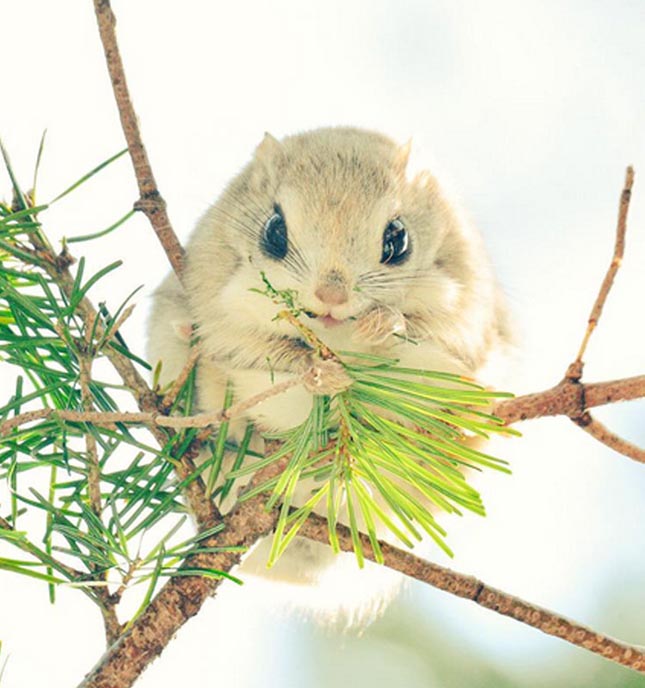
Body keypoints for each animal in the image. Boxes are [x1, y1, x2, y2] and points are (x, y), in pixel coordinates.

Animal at [147, 127, 512, 620]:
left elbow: (416, 332)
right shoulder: (220, 313)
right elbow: (265, 354)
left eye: (398, 240)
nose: (331, 296)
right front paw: (322, 374)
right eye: (274, 232)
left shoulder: (465, 322)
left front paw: (381, 326)